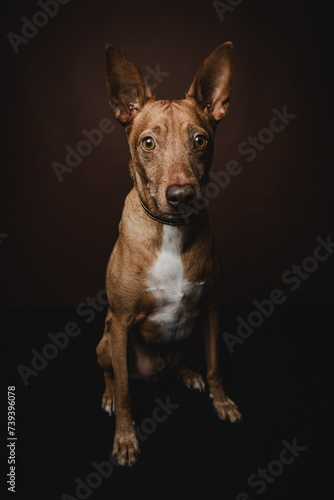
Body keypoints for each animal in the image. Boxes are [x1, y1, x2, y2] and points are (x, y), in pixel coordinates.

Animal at [95, 41, 241, 466]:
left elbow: (215, 365)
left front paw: (221, 403)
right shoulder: (121, 322)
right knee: (113, 374)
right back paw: (108, 396)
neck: (171, 232)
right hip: (106, 341)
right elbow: (126, 393)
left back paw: (186, 374)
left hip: (185, 337)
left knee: (180, 365)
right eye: (148, 142)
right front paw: (125, 438)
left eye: (200, 140)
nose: (181, 195)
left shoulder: (211, 310)